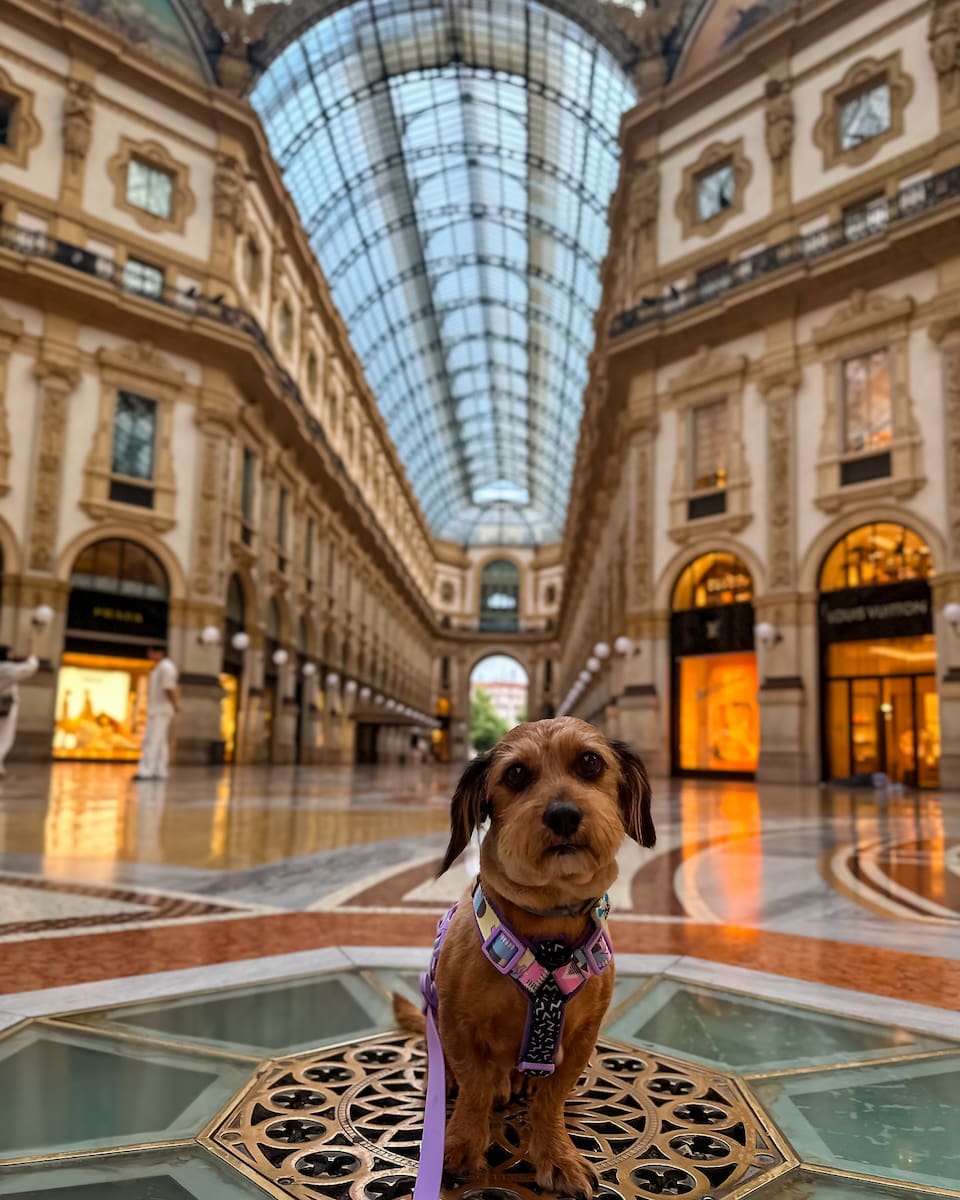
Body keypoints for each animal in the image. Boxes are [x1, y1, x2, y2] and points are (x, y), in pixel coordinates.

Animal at [400, 715, 657, 1195]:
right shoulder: (457, 1027)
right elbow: (476, 1088)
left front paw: (556, 1154)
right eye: (516, 773)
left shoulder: (582, 1039)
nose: (563, 814)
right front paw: (458, 1147)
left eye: (590, 762)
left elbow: (551, 1101)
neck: (548, 934)